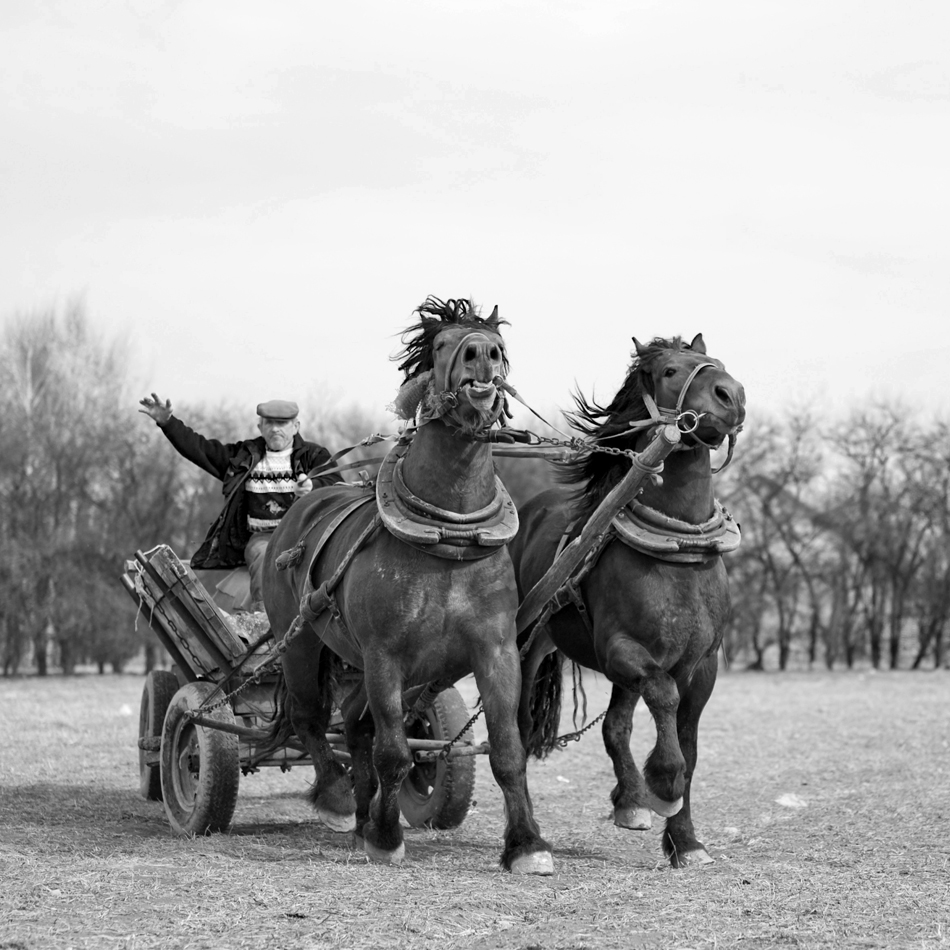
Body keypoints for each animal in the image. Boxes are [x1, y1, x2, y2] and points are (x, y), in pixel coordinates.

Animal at [264, 298, 556, 876]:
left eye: (499, 345)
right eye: (442, 344)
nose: (482, 353)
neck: (451, 542)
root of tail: (304, 504)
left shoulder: (495, 652)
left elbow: (507, 751)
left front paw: (527, 844)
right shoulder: (386, 657)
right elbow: (395, 752)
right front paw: (385, 836)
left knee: (355, 727)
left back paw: (359, 816)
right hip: (302, 644)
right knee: (313, 720)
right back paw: (339, 802)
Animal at [510, 334, 748, 872]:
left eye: (717, 363)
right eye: (668, 371)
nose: (731, 395)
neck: (680, 556)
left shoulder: (702, 664)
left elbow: (687, 742)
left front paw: (685, 839)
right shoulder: (622, 649)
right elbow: (664, 699)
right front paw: (662, 783)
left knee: (615, 725)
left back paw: (630, 802)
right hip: (523, 646)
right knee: (515, 730)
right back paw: (530, 838)